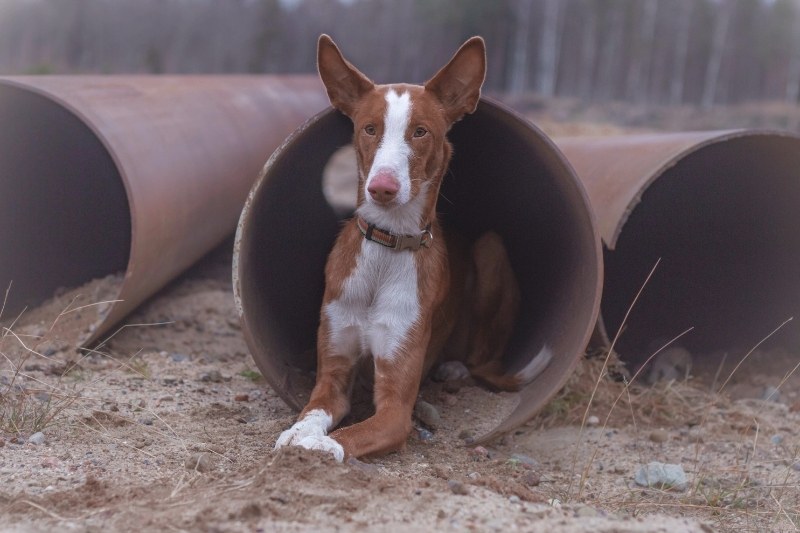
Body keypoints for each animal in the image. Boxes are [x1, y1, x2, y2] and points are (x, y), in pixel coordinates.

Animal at [276, 34, 552, 462]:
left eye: (421, 132)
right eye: (369, 128)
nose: (382, 188)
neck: (386, 247)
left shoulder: (395, 408)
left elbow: (348, 436)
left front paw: (317, 446)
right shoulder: (333, 374)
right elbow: (313, 411)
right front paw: (297, 433)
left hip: (491, 248)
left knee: (481, 358)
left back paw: (455, 367)